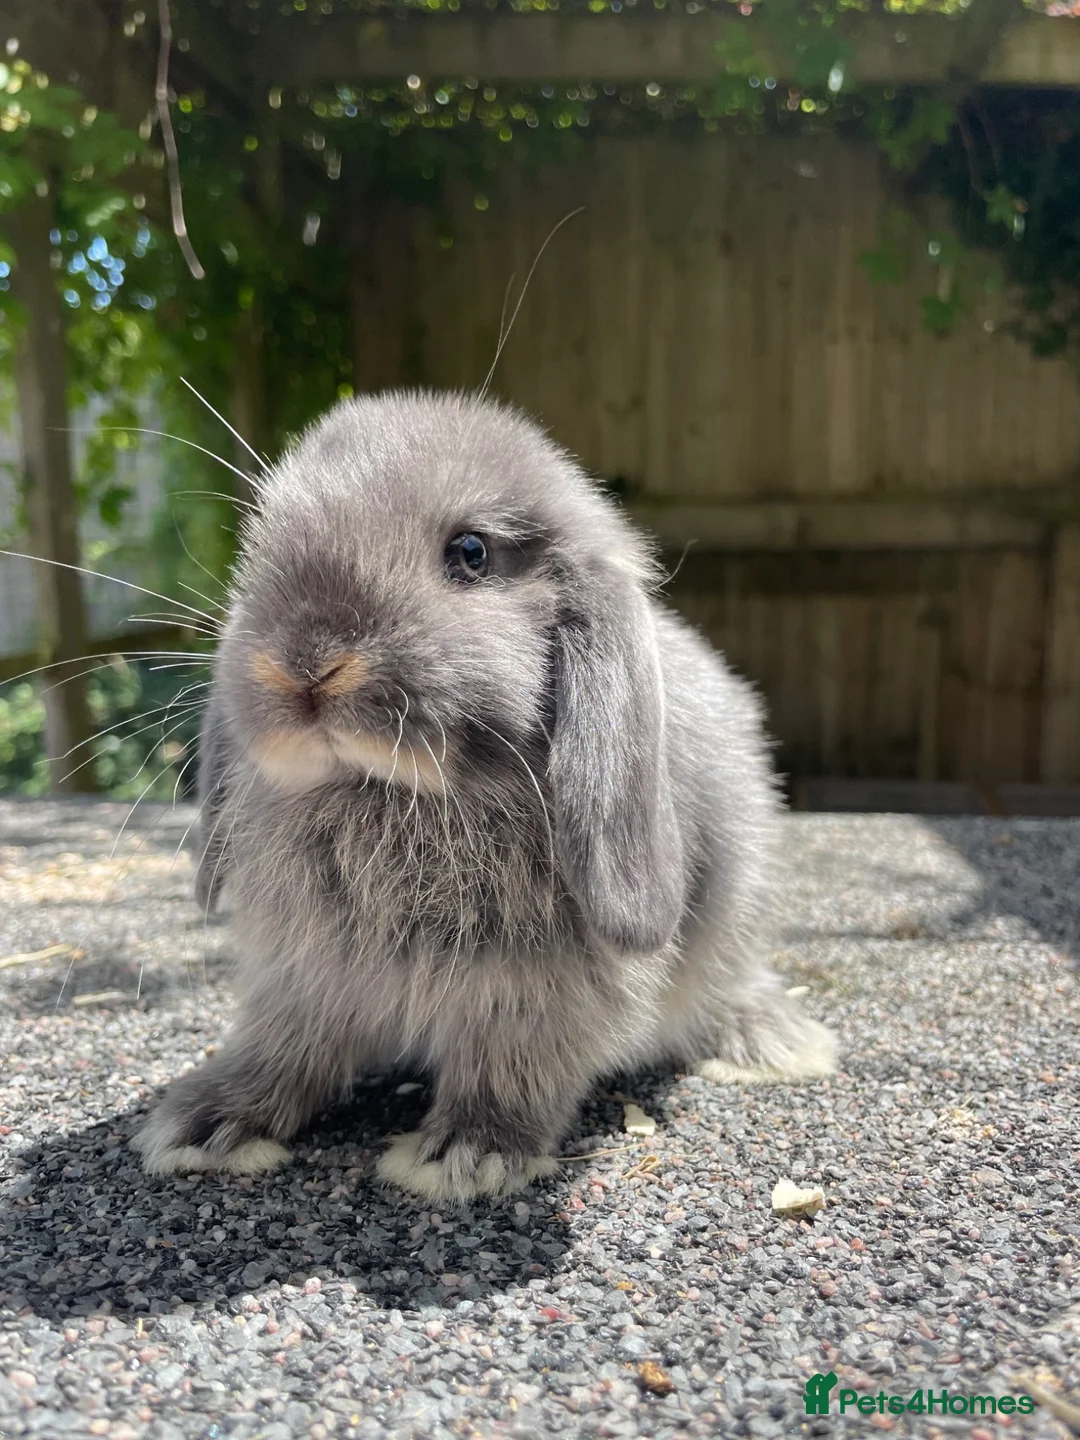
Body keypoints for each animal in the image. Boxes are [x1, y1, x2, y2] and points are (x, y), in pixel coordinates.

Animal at [133, 389, 836, 1201]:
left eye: (470, 553)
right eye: (259, 543)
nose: (304, 665)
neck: (389, 791)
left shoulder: (543, 987)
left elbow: (512, 1060)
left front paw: (465, 1154)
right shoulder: (303, 973)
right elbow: (287, 1044)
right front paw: (208, 1123)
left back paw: (773, 1043)